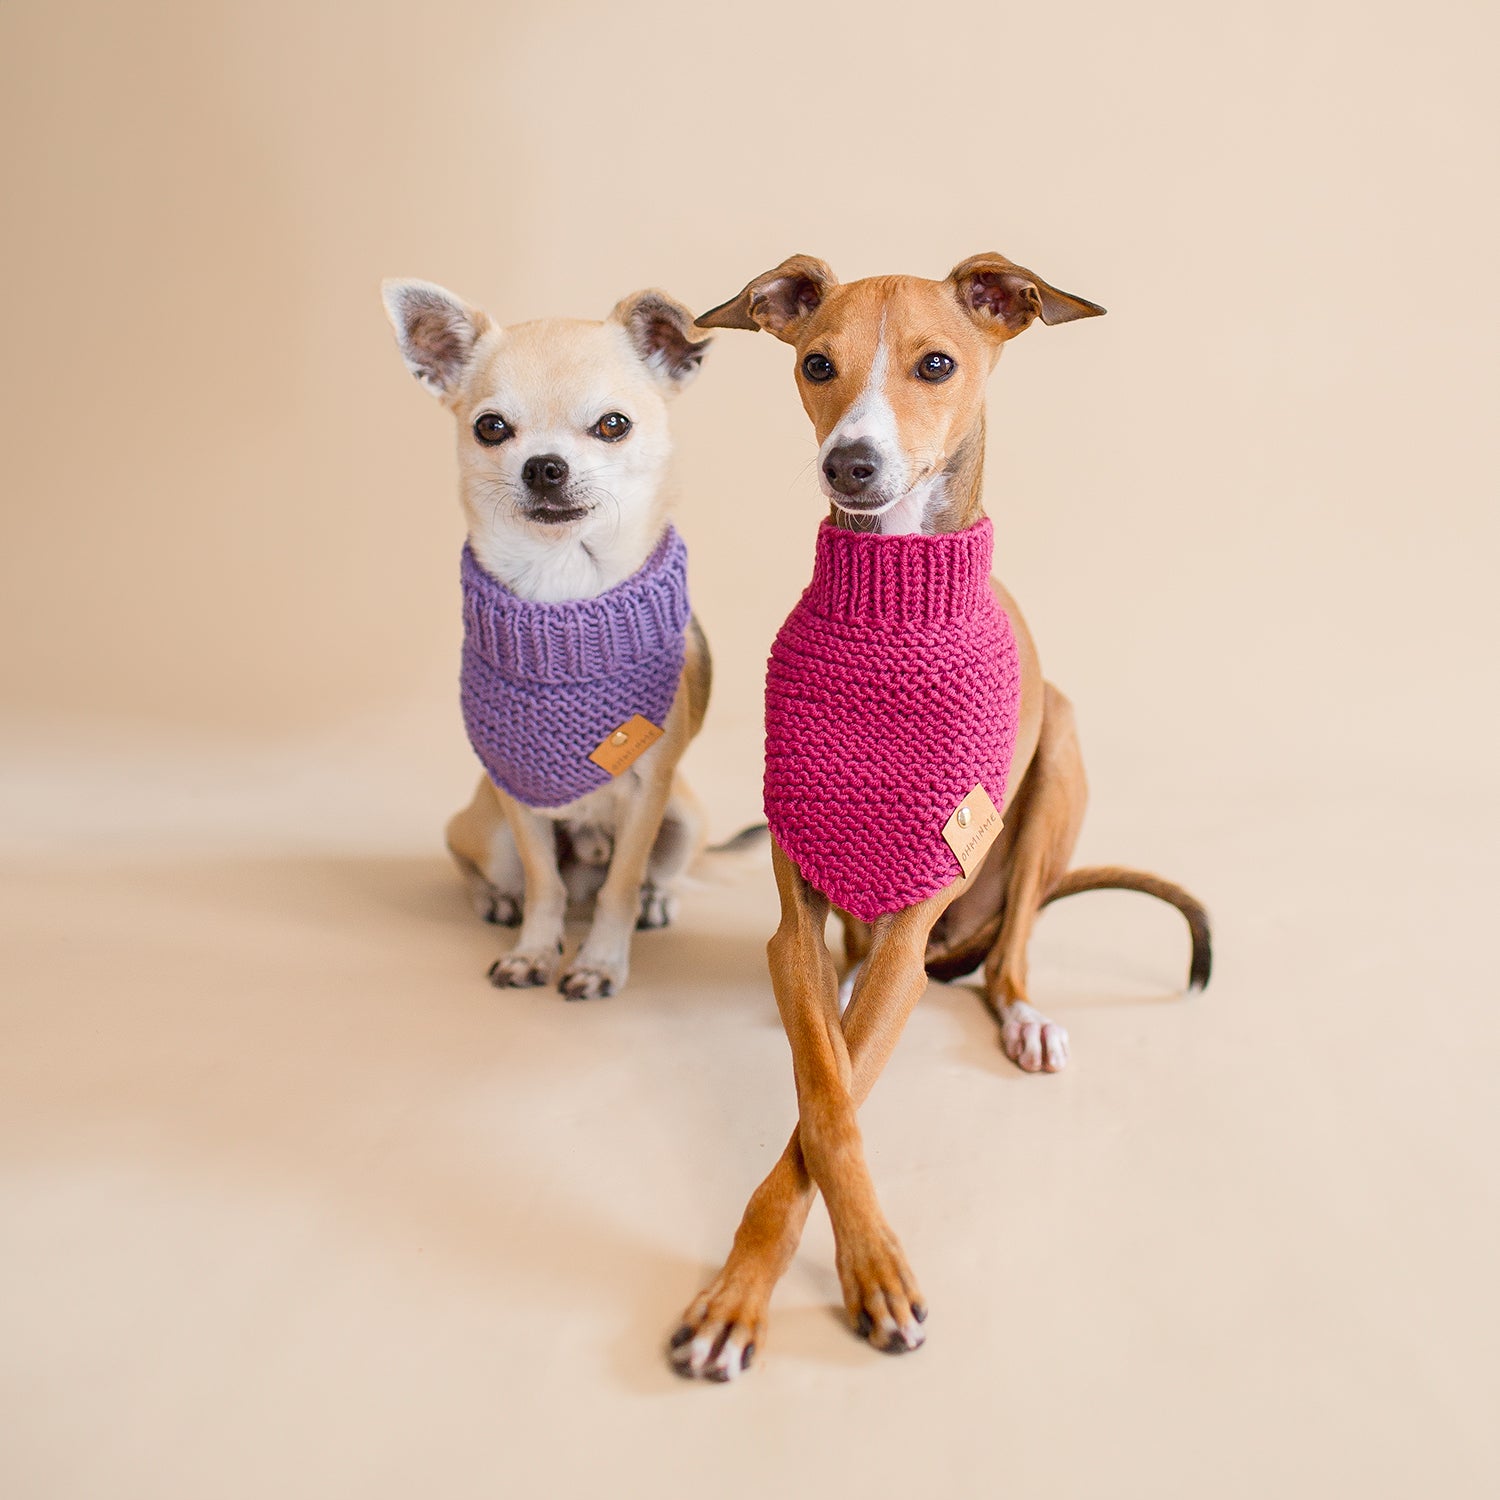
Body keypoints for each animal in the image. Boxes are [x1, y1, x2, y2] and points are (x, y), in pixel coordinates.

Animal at [387, 283, 714, 1008]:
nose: (543, 466)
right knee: (485, 864)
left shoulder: (649, 791)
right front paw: (534, 950)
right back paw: (496, 901)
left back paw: (654, 901)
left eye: (613, 425)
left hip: (682, 816)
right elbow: (545, 883)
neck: (564, 588)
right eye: (491, 427)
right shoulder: (520, 788)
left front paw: (601, 963)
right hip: (487, 827)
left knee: (647, 876)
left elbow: (621, 887)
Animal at [669, 249, 1206, 1380]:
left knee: (1010, 953)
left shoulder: (910, 932)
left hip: (1056, 768)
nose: (852, 465)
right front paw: (749, 1294)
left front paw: (854, 1276)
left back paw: (1026, 1014)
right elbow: (826, 1104)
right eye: (816, 363)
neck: (894, 605)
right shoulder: (796, 923)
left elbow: (823, 1122)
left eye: (936, 363)